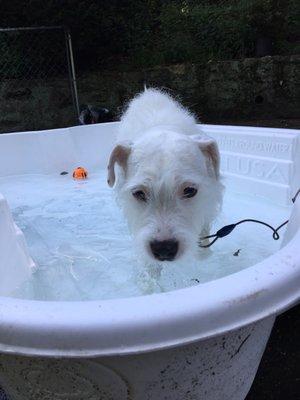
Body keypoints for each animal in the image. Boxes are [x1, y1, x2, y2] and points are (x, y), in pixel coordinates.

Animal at [108, 90, 223, 266]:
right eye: (138, 193)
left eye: (190, 191)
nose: (164, 249)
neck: (162, 128)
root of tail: (148, 92)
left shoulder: (208, 200)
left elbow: (204, 227)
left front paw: (203, 254)